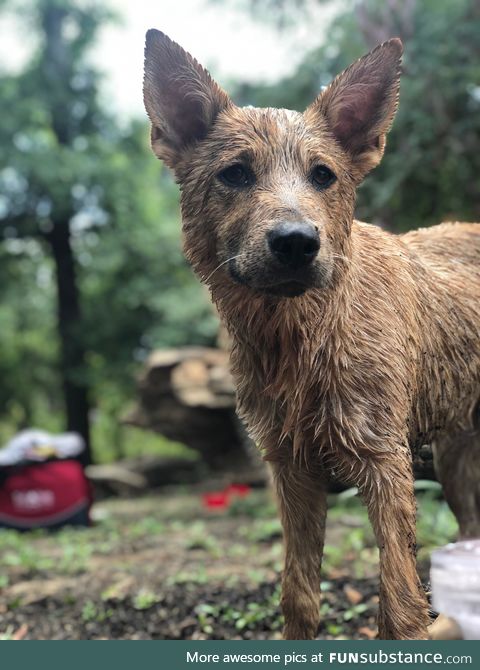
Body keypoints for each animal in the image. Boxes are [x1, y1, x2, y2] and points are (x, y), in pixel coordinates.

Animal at [142, 31, 480, 640]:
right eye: (235, 174)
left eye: (323, 175)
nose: (297, 242)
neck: (303, 339)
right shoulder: (291, 467)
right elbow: (298, 597)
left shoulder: (384, 462)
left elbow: (401, 606)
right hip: (455, 450)